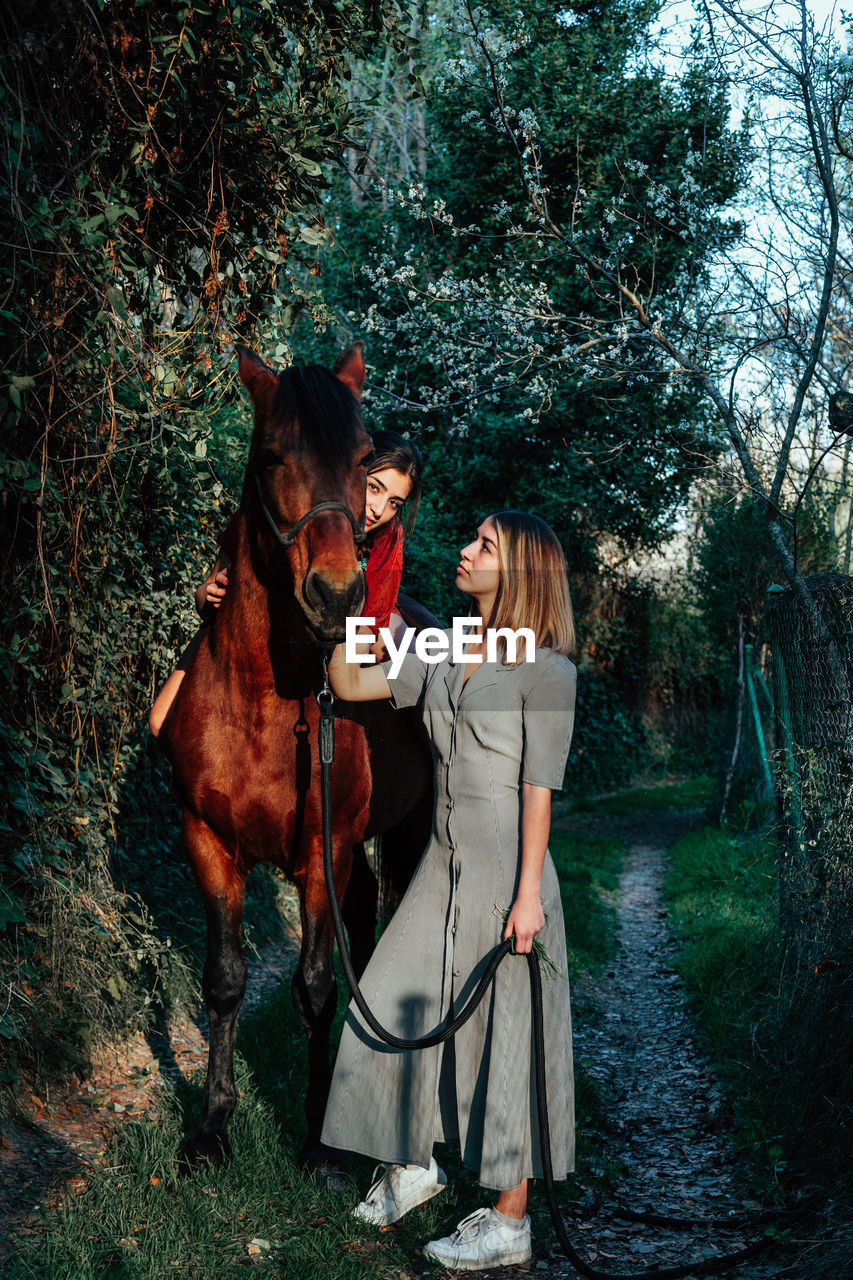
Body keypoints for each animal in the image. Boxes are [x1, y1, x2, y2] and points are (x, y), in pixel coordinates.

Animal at [162, 343, 432, 1172]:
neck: (260, 699)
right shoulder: (208, 842)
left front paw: (316, 1139)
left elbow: (314, 985)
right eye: (272, 456)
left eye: (360, 459)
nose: (336, 595)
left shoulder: (323, 849)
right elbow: (224, 980)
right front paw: (211, 1127)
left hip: (406, 833)